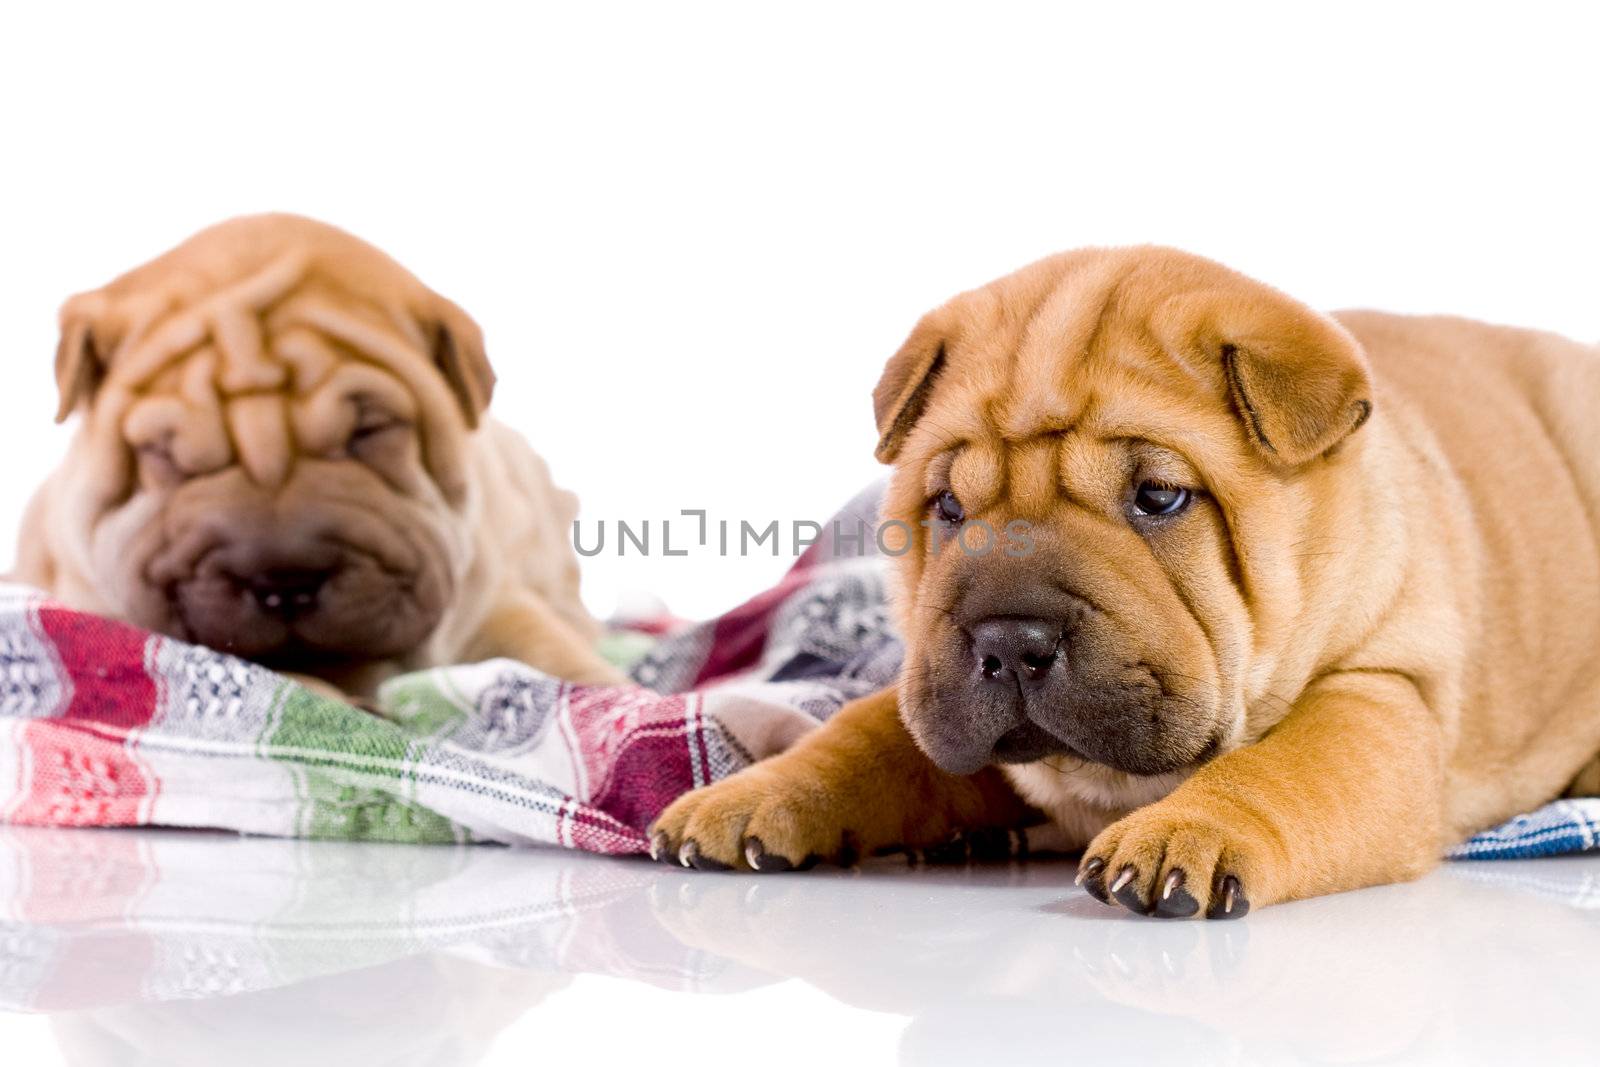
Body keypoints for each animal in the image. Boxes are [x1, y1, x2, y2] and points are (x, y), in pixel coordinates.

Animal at [649, 241, 1600, 921]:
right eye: (949, 507)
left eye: (1159, 497)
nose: (1009, 639)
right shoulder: (931, 694)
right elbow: (864, 737)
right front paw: (750, 794)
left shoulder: (1383, 695)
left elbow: (1283, 767)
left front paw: (1190, 832)